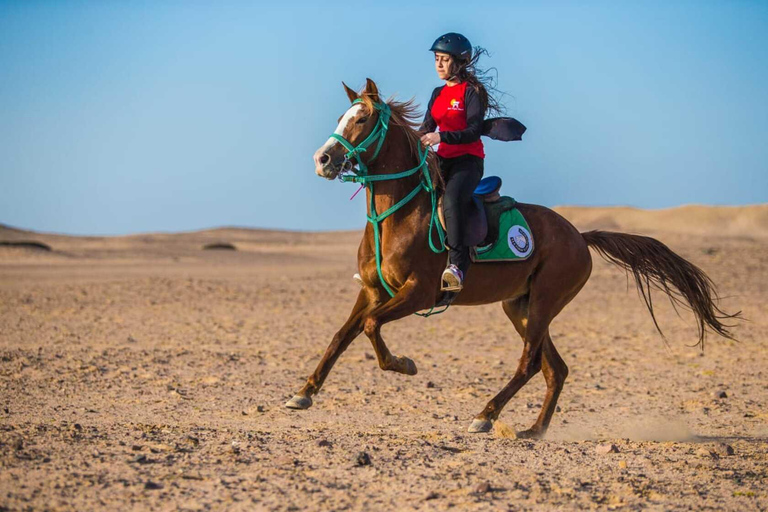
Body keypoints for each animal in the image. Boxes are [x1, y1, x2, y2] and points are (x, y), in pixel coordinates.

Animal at [287, 78, 739, 438]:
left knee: (529, 364)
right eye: (342, 117)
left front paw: (404, 364)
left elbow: (370, 328)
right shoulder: (372, 291)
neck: (396, 216)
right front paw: (303, 393)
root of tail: (579, 236)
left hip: (543, 302)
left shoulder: (418, 294)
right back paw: (534, 429)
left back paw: (486, 416)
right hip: (520, 305)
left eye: (362, 120)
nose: (322, 160)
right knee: (555, 368)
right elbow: (341, 336)